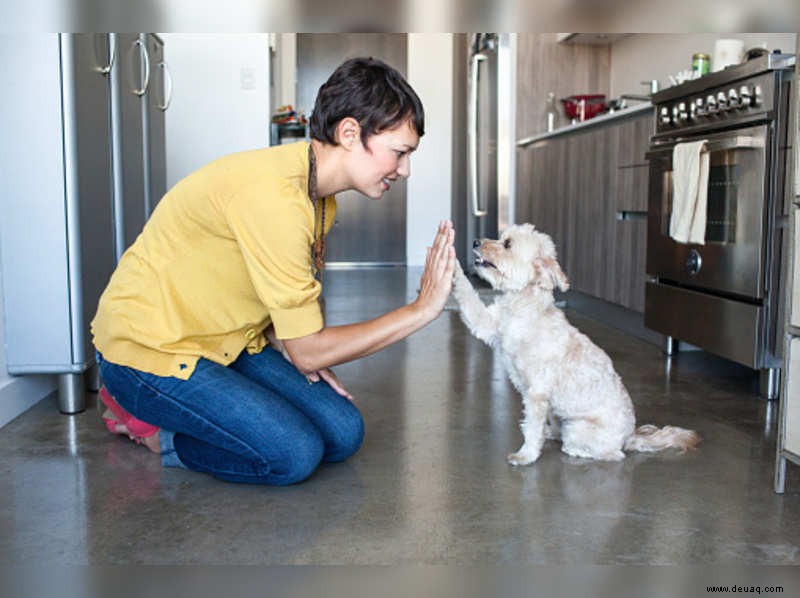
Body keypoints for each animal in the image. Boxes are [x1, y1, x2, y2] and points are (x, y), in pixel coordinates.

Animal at [454, 223, 704, 466]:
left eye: (507, 244)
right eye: (501, 236)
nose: (475, 241)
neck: (524, 306)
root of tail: (629, 436)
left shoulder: (537, 393)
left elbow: (532, 428)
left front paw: (525, 455)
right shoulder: (489, 324)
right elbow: (469, 298)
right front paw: (452, 263)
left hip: (578, 428)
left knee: (612, 454)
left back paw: (574, 448)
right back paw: (552, 432)